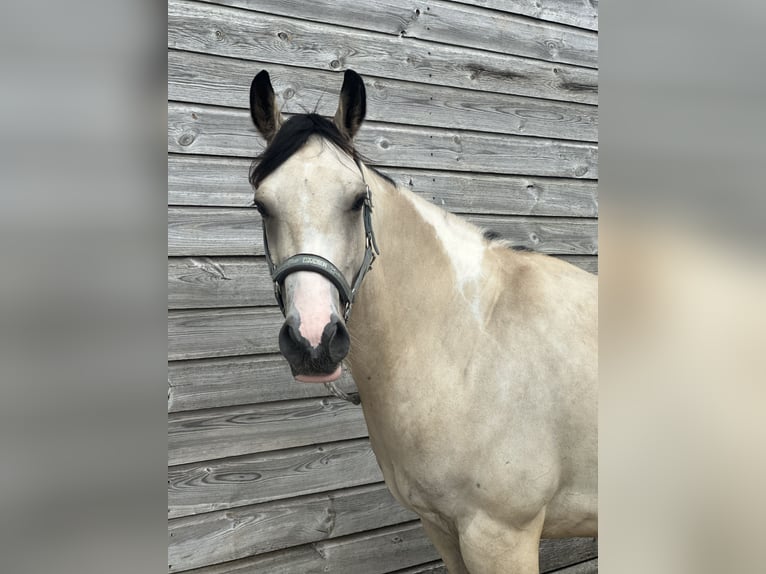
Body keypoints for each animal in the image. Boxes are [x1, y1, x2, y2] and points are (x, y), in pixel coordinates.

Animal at [248, 69, 597, 573]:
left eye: (357, 201)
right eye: (262, 205)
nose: (314, 340)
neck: (470, 349)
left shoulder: (501, 536)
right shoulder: (441, 528)